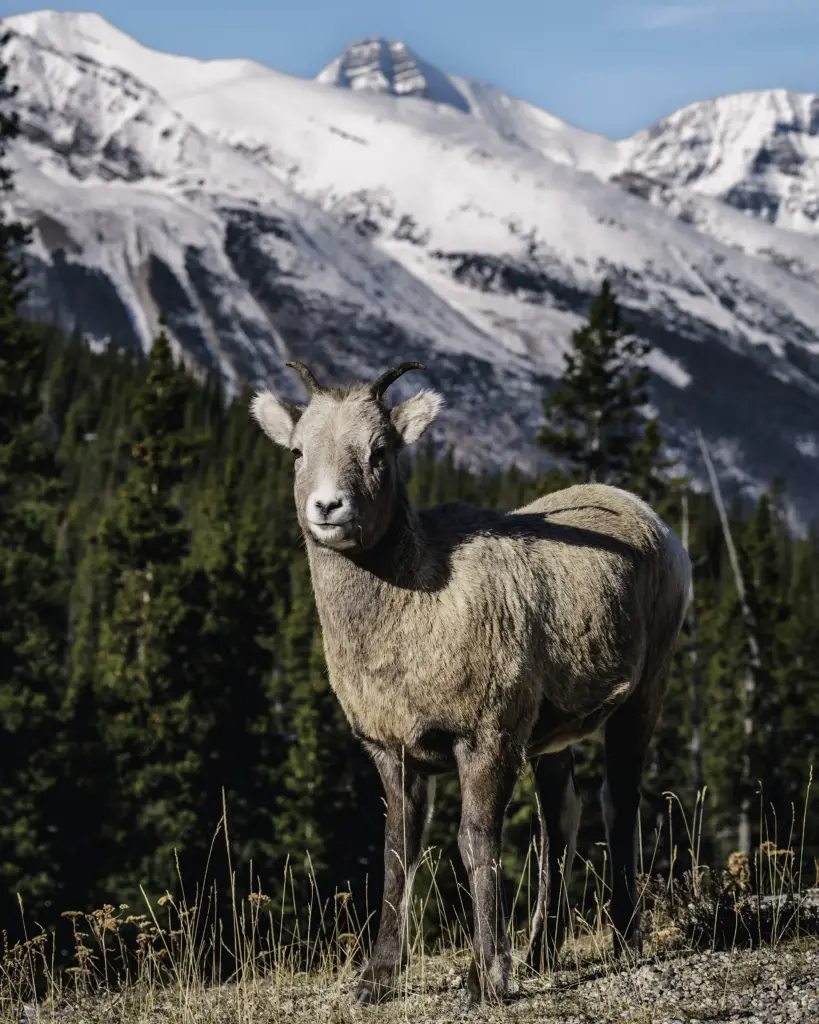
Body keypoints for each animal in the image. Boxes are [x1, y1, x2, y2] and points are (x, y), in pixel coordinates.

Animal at [249, 364, 692, 1003]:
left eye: (379, 451)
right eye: (298, 450)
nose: (328, 507)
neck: (409, 623)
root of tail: (652, 520)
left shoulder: (487, 739)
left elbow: (475, 842)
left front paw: (489, 978)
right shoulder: (393, 752)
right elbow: (399, 852)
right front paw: (378, 980)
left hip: (645, 693)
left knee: (620, 802)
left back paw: (623, 940)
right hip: (550, 742)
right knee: (561, 819)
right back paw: (541, 952)